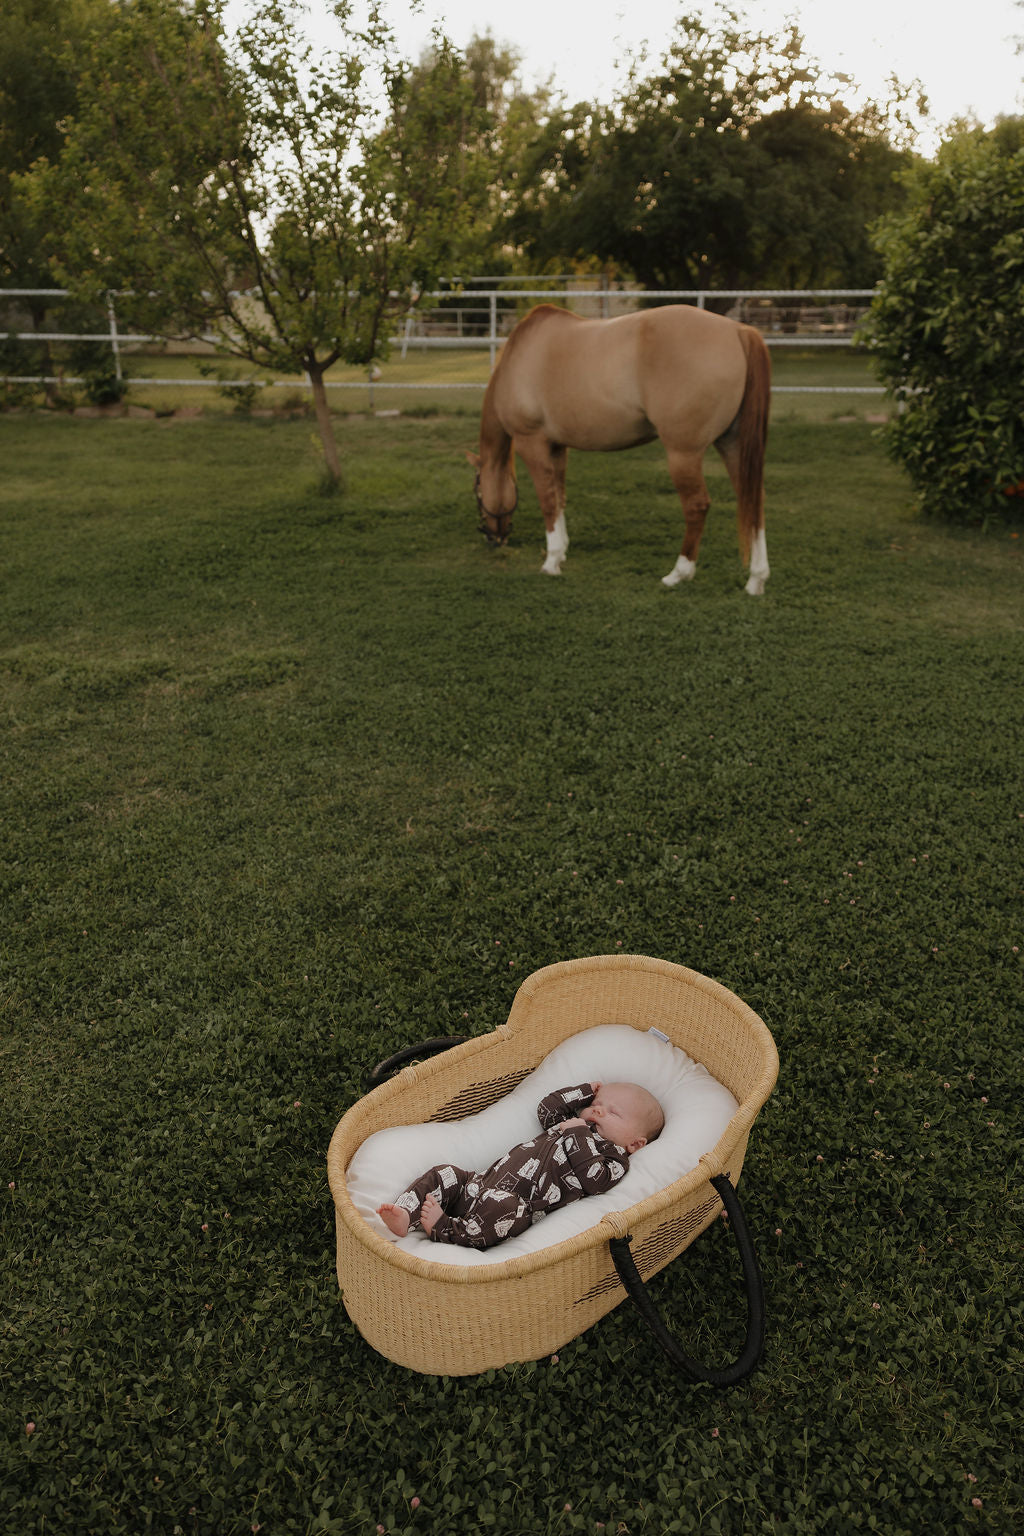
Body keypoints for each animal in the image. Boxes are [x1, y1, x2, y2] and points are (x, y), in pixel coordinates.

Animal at [467, 303, 771, 594]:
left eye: (478, 490)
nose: (492, 538)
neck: (520, 357)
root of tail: (737, 331)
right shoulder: (558, 447)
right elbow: (560, 496)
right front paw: (562, 551)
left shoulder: (532, 443)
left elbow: (548, 501)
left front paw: (551, 561)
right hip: (733, 445)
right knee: (752, 501)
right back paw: (756, 580)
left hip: (683, 454)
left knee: (697, 506)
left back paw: (678, 574)